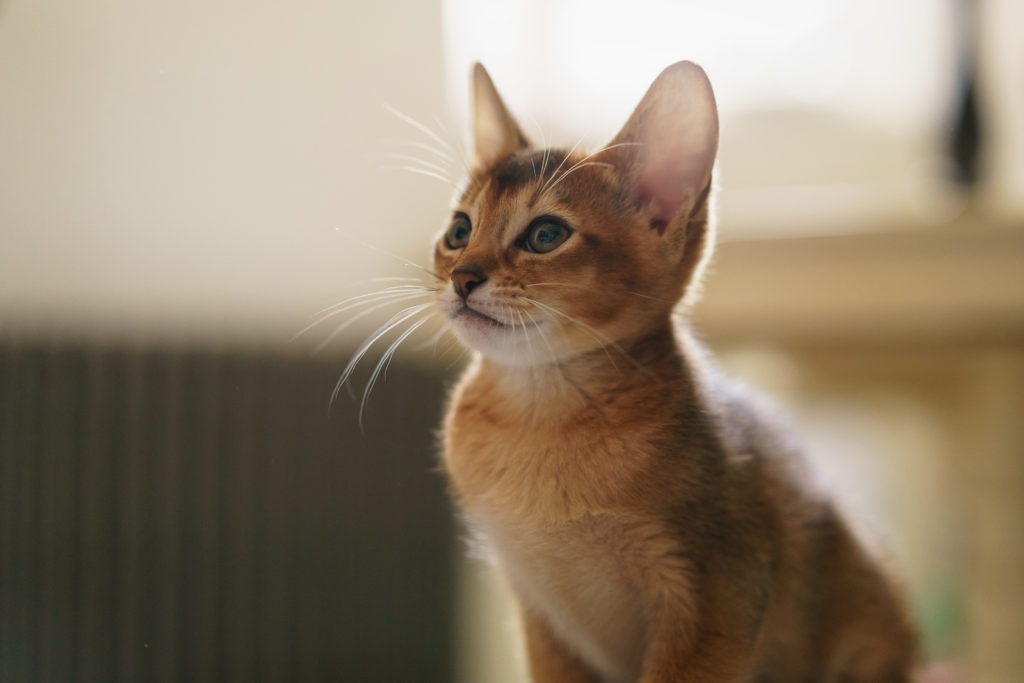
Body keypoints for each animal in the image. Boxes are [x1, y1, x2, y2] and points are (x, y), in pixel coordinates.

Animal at [436, 60, 917, 683]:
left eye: (546, 235)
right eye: (458, 231)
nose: (462, 278)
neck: (538, 421)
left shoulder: (716, 599)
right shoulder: (541, 618)